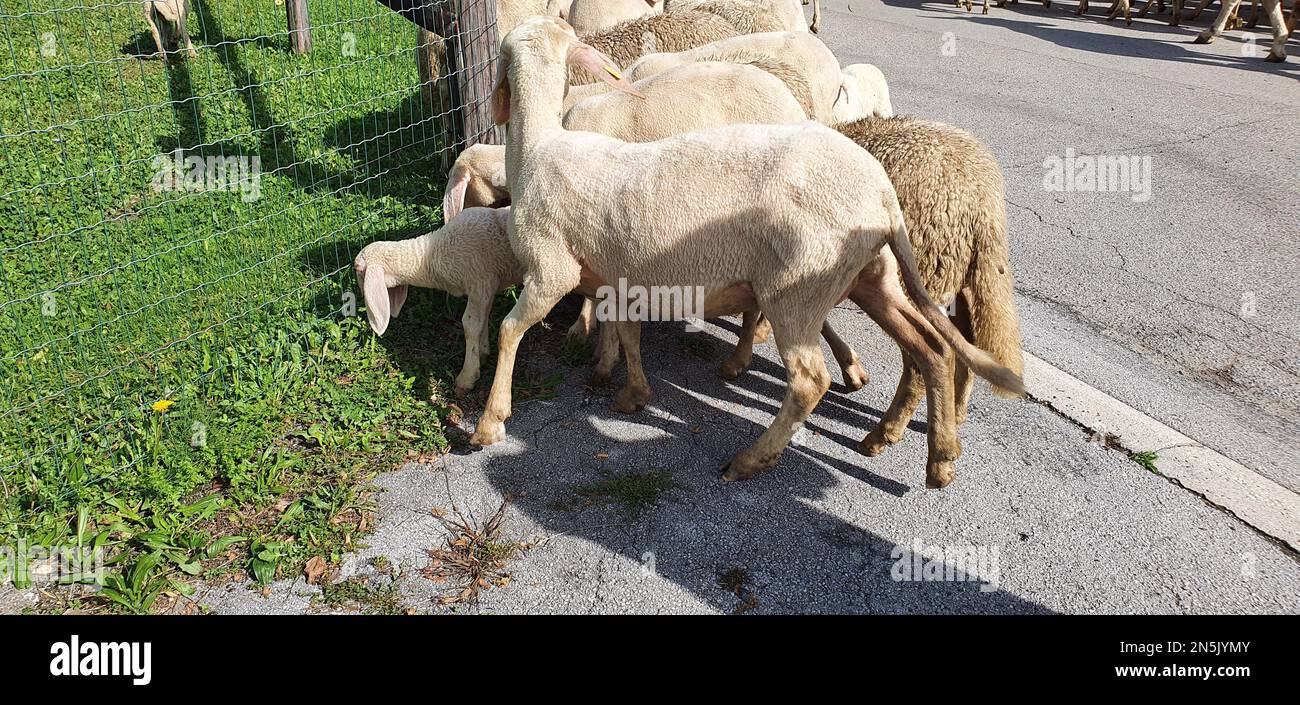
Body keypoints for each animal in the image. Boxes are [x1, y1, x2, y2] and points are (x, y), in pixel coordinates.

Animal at [722, 115, 1024, 455]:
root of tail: (983, 201)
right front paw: (850, 368)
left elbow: (759, 314)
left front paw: (740, 357)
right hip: (955, 273)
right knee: (966, 339)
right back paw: (955, 412)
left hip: (919, 271)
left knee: (920, 362)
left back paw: (885, 434)